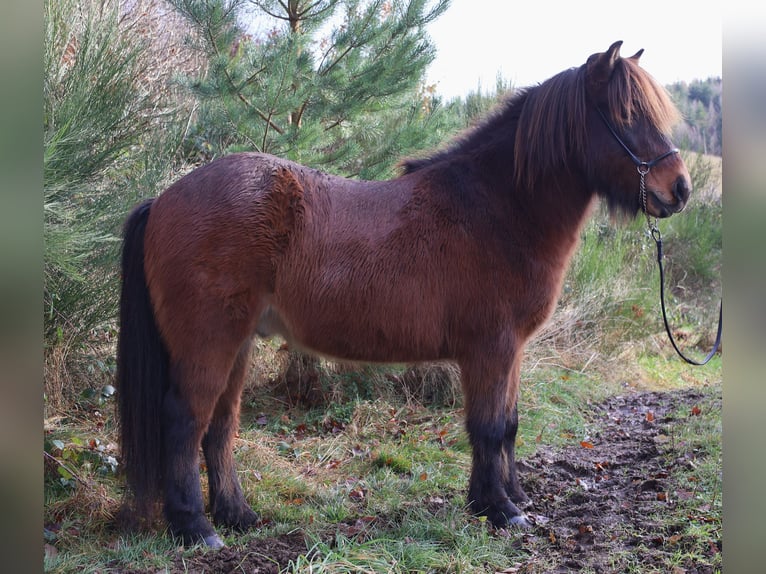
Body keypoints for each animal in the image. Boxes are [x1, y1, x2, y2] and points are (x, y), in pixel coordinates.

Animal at [116, 41, 690, 548]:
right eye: (626, 114)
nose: (680, 189)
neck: (495, 208)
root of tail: (163, 199)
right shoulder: (491, 348)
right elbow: (487, 426)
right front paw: (498, 509)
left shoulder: (512, 351)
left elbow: (508, 425)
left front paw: (506, 499)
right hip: (209, 342)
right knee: (185, 421)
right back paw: (196, 528)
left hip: (237, 343)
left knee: (220, 425)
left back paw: (237, 516)